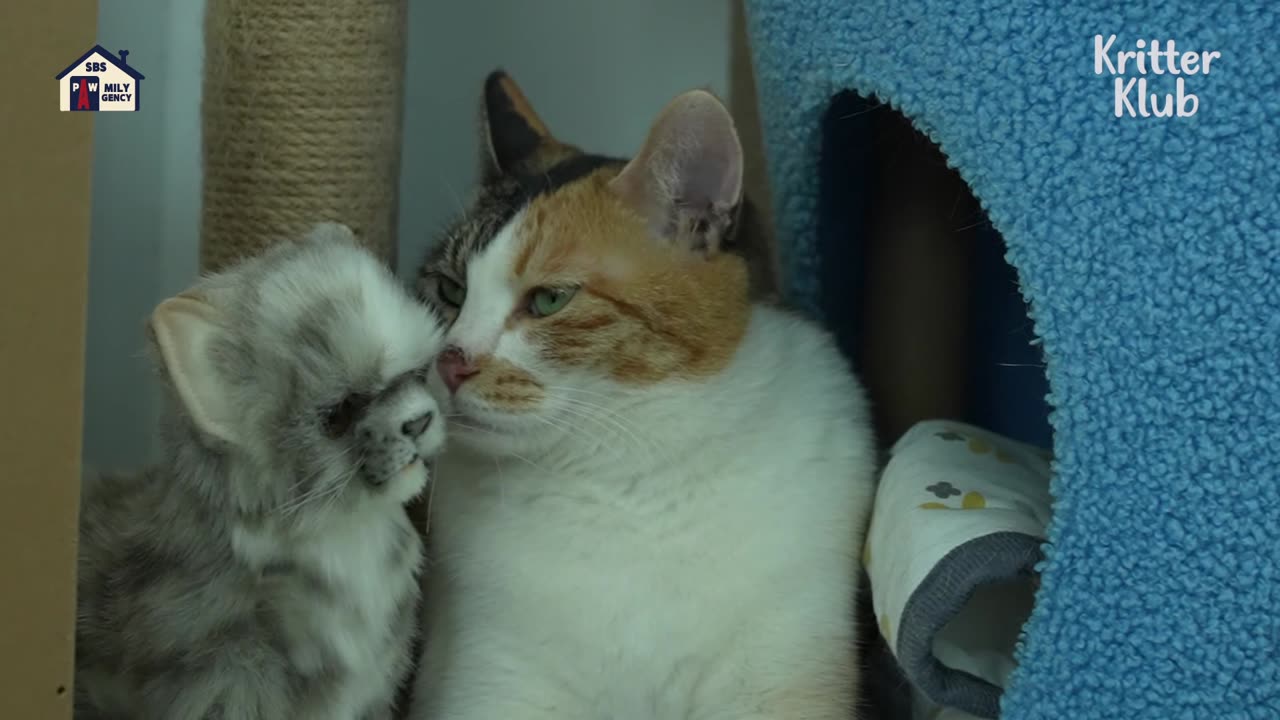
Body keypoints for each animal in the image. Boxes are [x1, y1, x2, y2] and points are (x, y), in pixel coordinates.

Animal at [412, 73, 880, 717]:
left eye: (549, 300)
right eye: (449, 289)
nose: (449, 363)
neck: (626, 480)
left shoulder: (785, 665)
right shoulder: (493, 676)